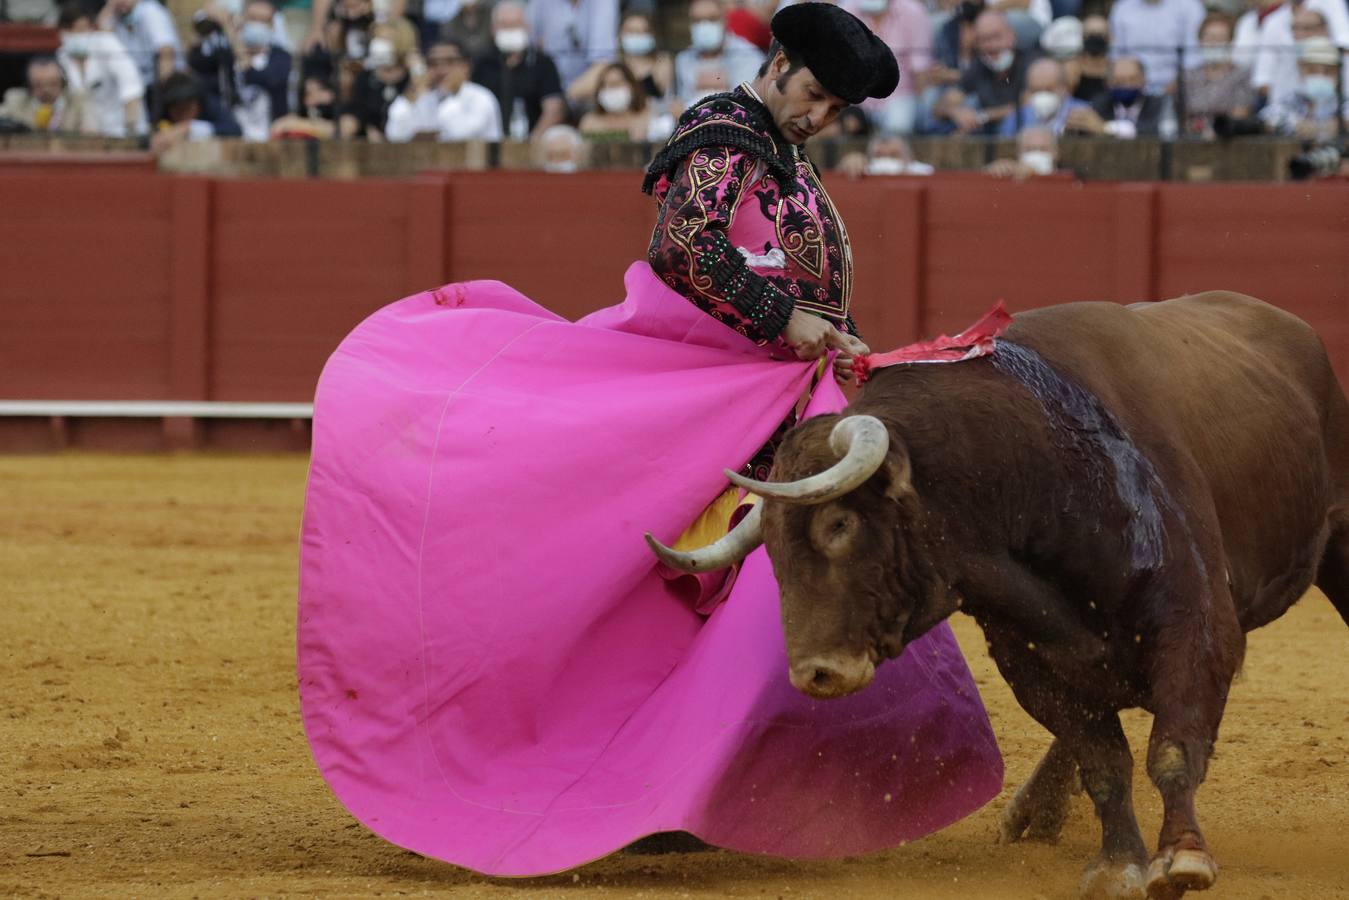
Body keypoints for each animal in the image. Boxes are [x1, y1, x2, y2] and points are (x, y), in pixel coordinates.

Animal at [647, 292, 1343, 895]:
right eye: (770, 548)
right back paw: (1035, 811)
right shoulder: (1029, 660)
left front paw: (1182, 858)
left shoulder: (1193, 626)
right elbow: (1103, 759)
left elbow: (1171, 748)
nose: (815, 674)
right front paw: (1118, 864)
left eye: (839, 524)